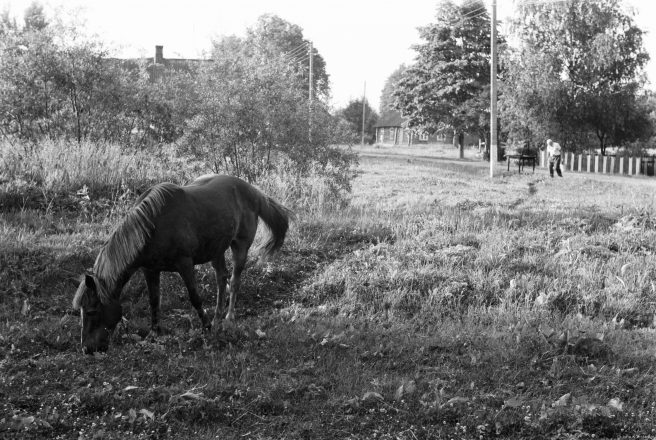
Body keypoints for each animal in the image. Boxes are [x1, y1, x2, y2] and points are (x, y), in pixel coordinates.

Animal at [72, 174, 292, 354]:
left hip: (240, 247)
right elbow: (154, 300)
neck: (152, 225)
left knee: (235, 281)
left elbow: (195, 297)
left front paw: (206, 327)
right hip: (217, 250)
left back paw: (228, 317)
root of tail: (252, 191)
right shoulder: (149, 269)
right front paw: (154, 333)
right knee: (221, 280)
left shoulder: (185, 264)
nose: (86, 349)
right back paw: (217, 317)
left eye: (91, 311)